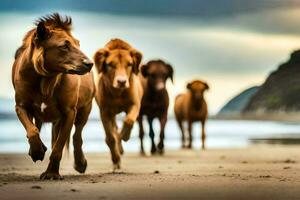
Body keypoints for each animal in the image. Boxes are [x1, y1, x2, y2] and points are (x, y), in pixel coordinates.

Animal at [12, 14, 94, 180]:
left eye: (78, 44)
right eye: (64, 46)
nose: (90, 64)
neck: (47, 79)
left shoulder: (69, 112)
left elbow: (58, 147)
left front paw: (51, 174)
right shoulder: (21, 106)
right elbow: (32, 130)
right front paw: (37, 151)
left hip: (84, 109)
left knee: (77, 136)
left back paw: (80, 163)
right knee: (37, 128)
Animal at [94, 38, 143, 170]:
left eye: (129, 64)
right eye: (110, 64)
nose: (121, 81)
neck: (118, 93)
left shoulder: (135, 104)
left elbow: (129, 121)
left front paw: (125, 136)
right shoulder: (104, 111)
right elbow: (110, 138)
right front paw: (116, 159)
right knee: (113, 131)